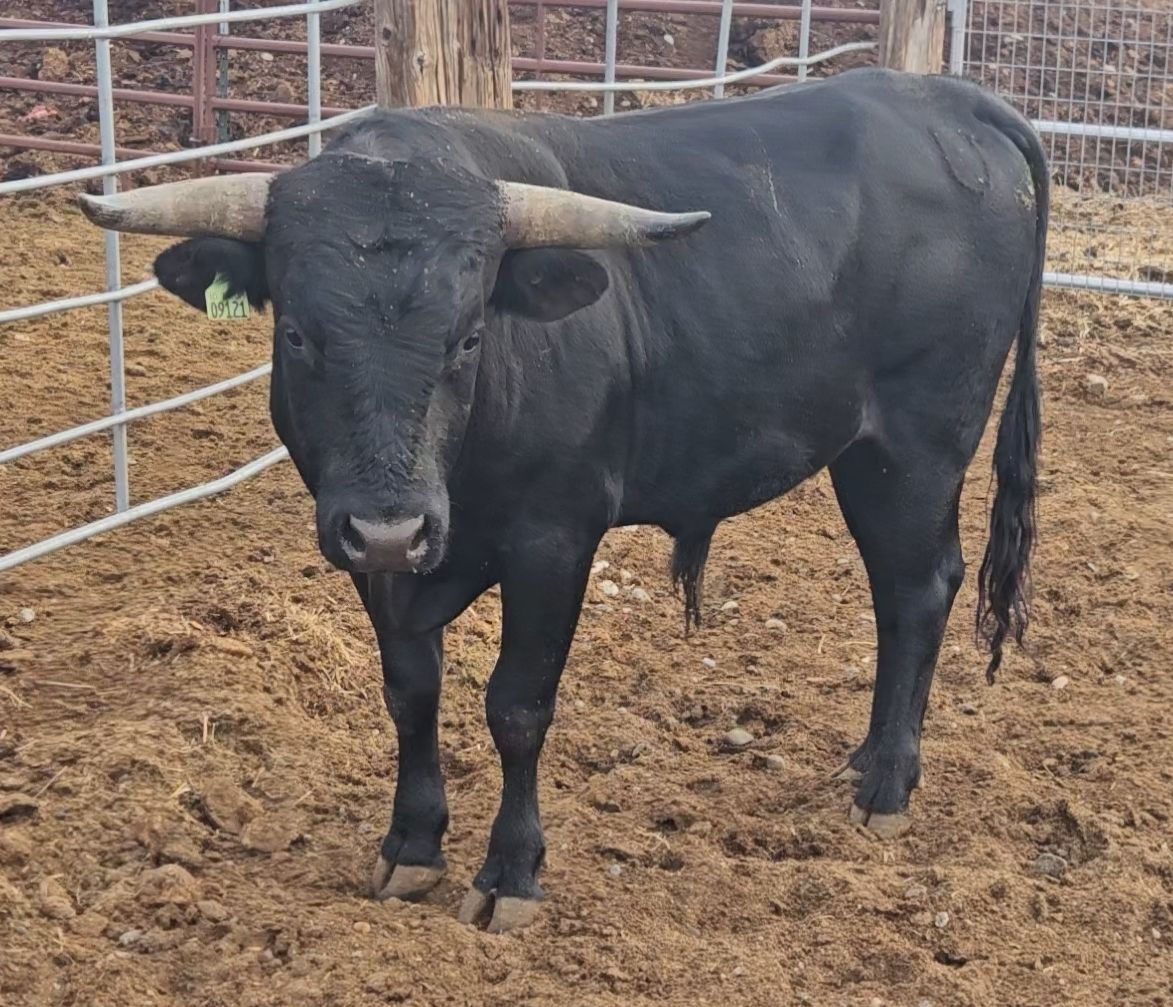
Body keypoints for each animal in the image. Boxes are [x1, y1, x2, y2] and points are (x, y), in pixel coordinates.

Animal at [80, 67, 1046, 933]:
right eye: (296, 333)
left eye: (469, 335)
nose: (394, 524)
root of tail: (942, 95)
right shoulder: (367, 552)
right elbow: (410, 691)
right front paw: (411, 844)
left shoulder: (553, 541)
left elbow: (516, 706)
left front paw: (509, 872)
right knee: (901, 594)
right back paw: (863, 763)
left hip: (916, 446)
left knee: (916, 589)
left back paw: (886, 783)